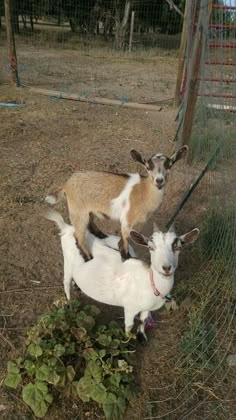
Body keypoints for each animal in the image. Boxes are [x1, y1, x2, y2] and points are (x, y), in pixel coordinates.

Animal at [44, 210, 199, 342]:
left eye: (178, 247)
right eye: (150, 247)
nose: (166, 268)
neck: (148, 283)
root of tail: (68, 229)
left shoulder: (146, 308)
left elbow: (143, 320)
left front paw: (142, 336)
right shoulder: (130, 308)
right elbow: (129, 326)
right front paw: (128, 341)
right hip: (67, 263)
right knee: (66, 283)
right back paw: (70, 304)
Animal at [45, 146, 188, 260]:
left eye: (169, 165)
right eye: (148, 167)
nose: (159, 180)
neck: (143, 191)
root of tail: (67, 185)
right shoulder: (127, 220)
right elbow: (124, 242)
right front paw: (126, 257)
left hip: (88, 209)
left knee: (90, 223)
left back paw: (101, 235)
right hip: (77, 210)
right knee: (78, 235)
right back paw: (88, 258)